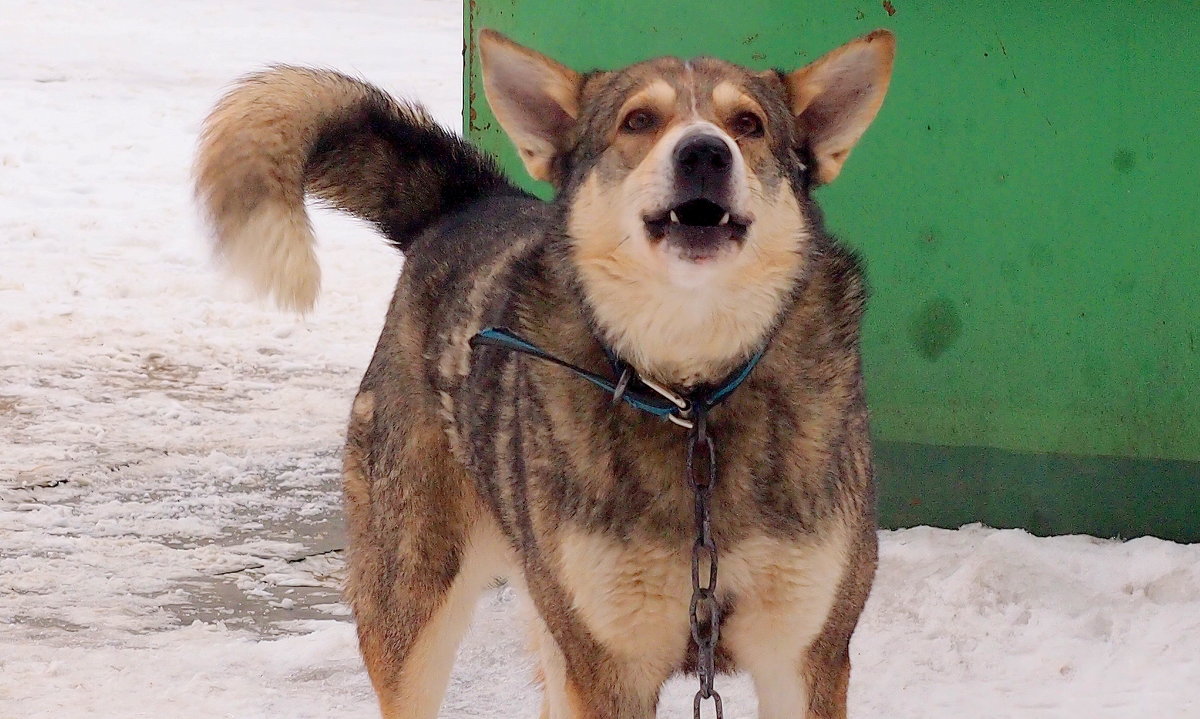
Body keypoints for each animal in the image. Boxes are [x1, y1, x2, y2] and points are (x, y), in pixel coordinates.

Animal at [194, 28, 892, 719]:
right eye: (638, 120)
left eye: (747, 124)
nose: (704, 152)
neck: (690, 395)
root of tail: (470, 203)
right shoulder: (607, 665)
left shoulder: (804, 655)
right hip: (418, 605)